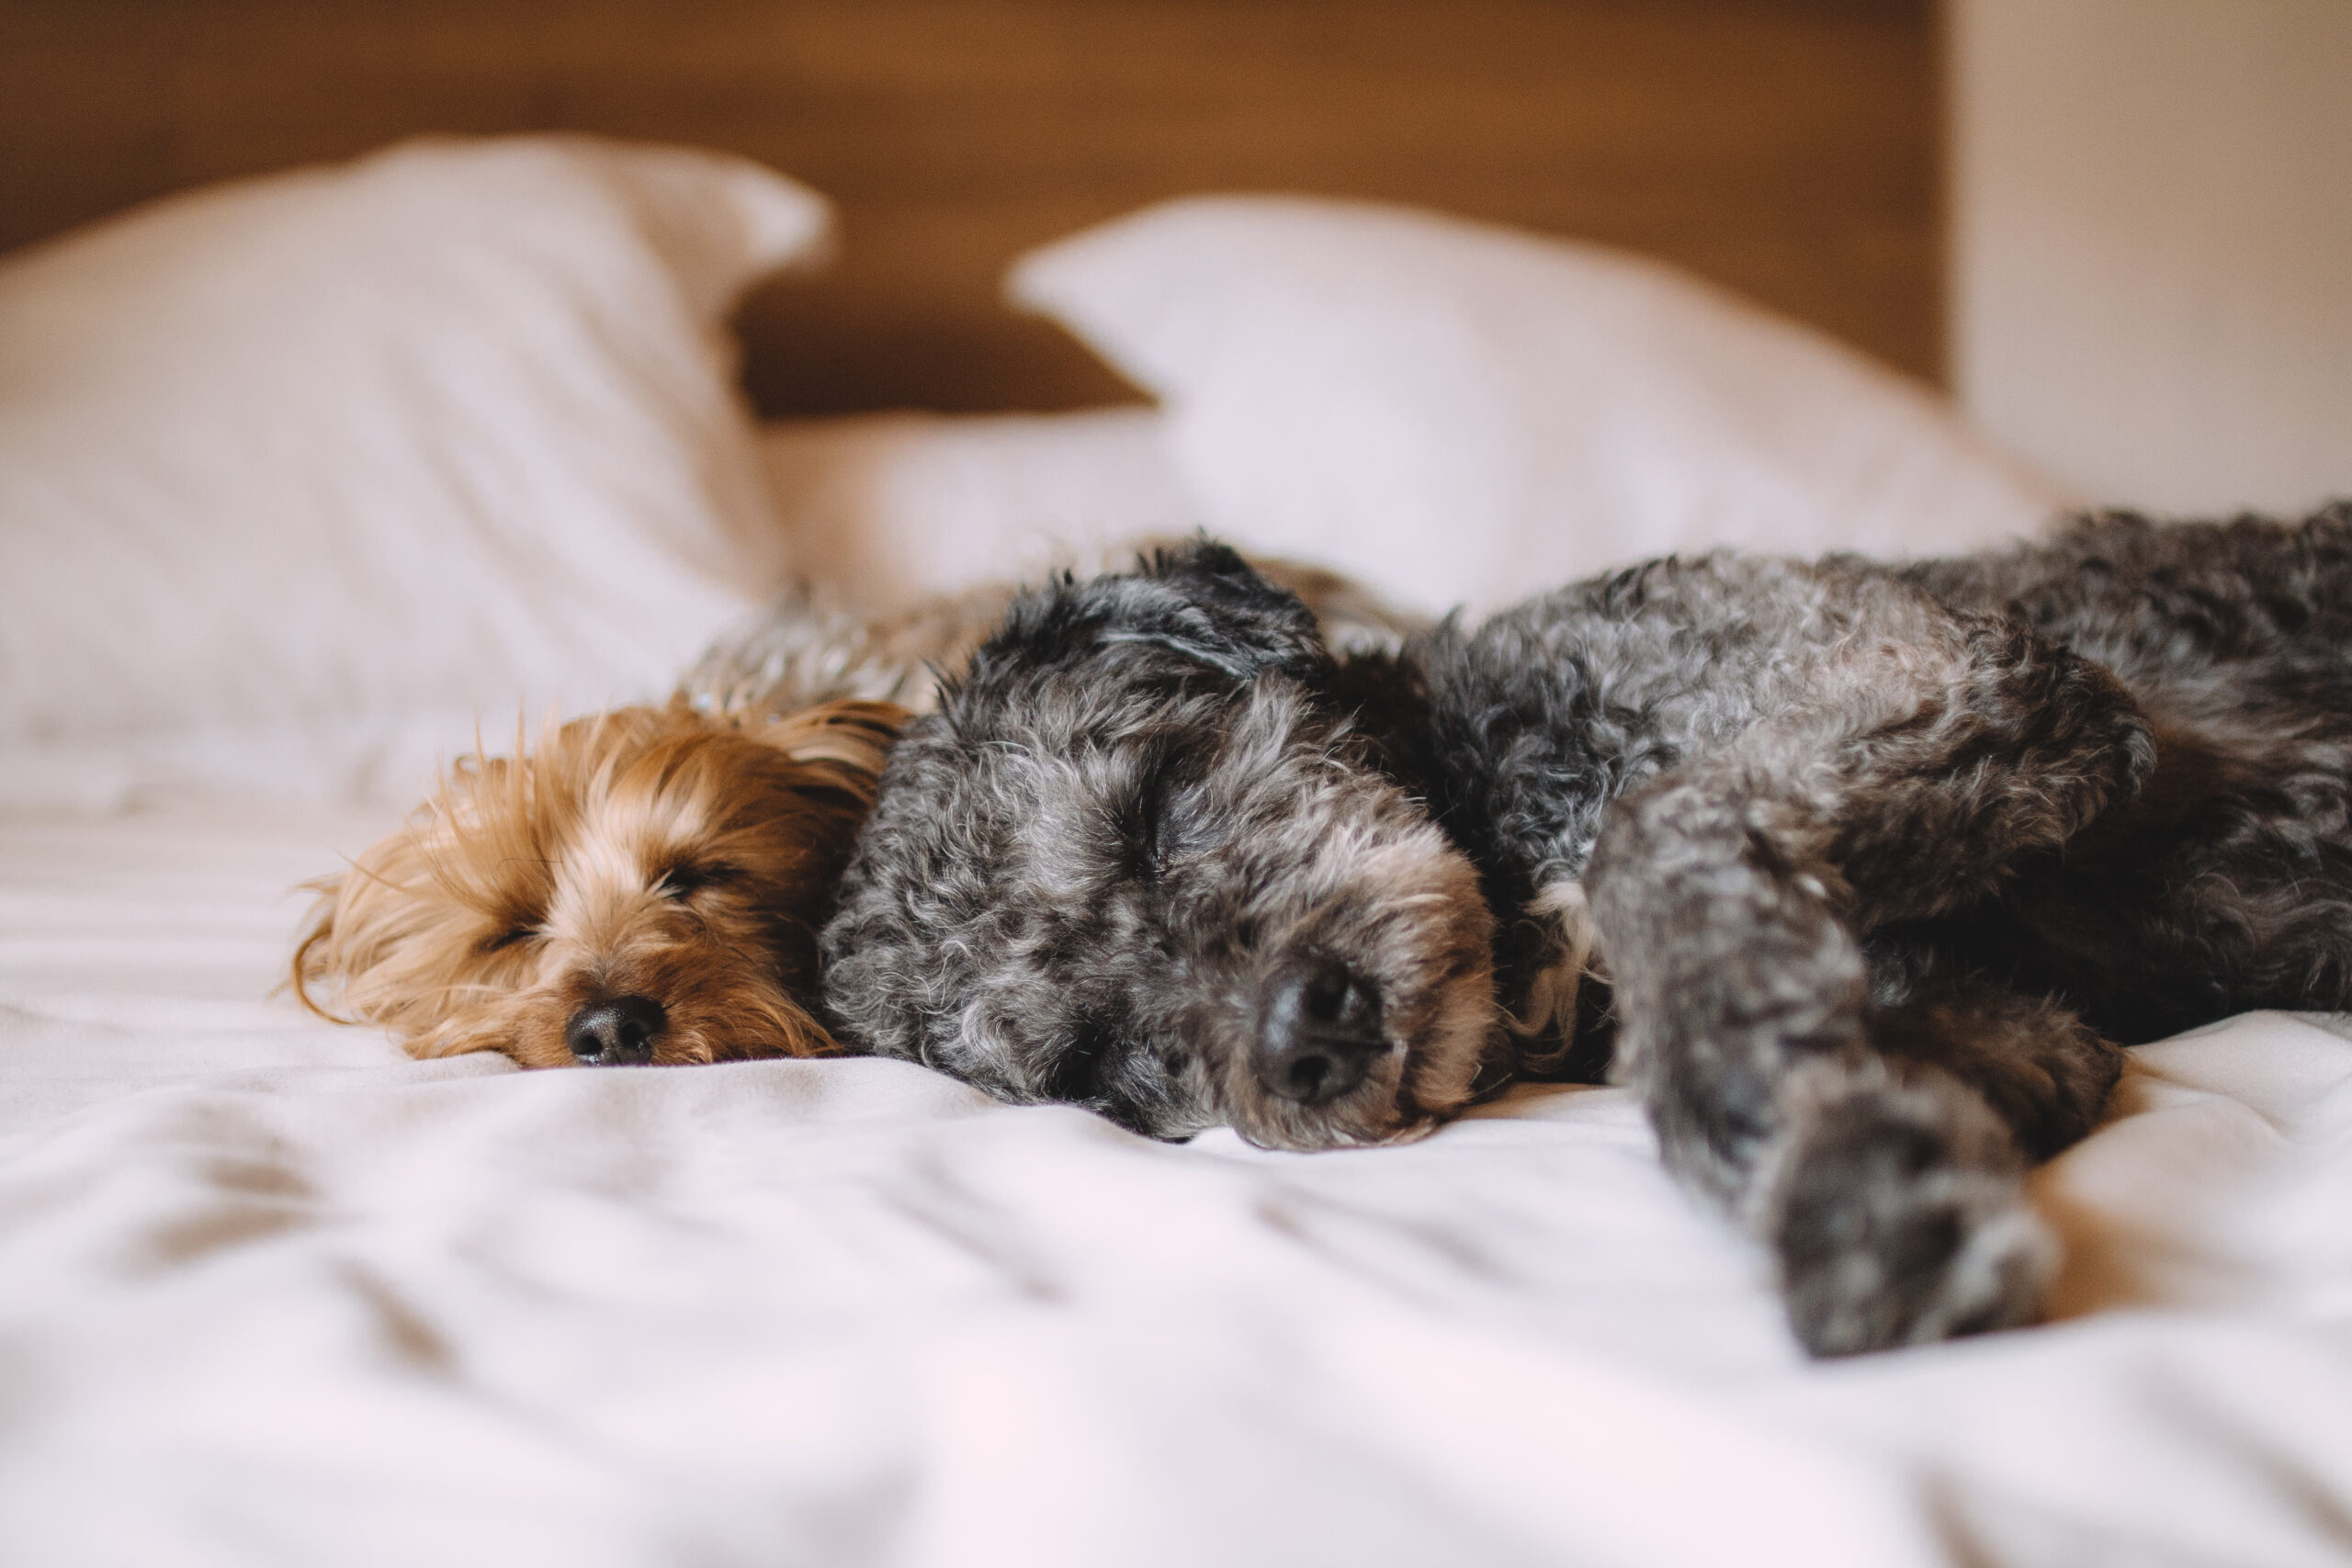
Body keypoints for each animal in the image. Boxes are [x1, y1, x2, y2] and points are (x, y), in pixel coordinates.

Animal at [818, 510, 2352, 1354]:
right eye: (1097, 1066)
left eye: (1152, 804)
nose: (1305, 1033)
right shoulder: (2029, 1021)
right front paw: (1840, 1132)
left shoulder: (1959, 670)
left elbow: (1652, 837)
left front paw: (1849, 1200)